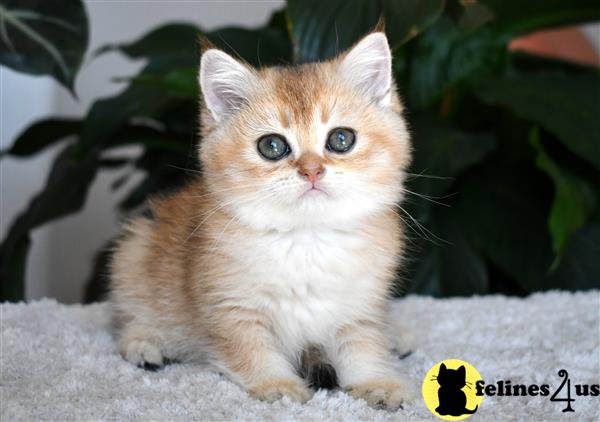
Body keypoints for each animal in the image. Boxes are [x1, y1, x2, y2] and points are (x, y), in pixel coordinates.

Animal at [109, 31, 412, 409]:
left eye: (341, 139)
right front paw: (277, 385)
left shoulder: (360, 306)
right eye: (272, 146)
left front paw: (376, 382)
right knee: (130, 315)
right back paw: (144, 343)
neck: (307, 240)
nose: (312, 170)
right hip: (135, 253)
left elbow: (362, 346)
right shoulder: (231, 306)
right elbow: (251, 350)